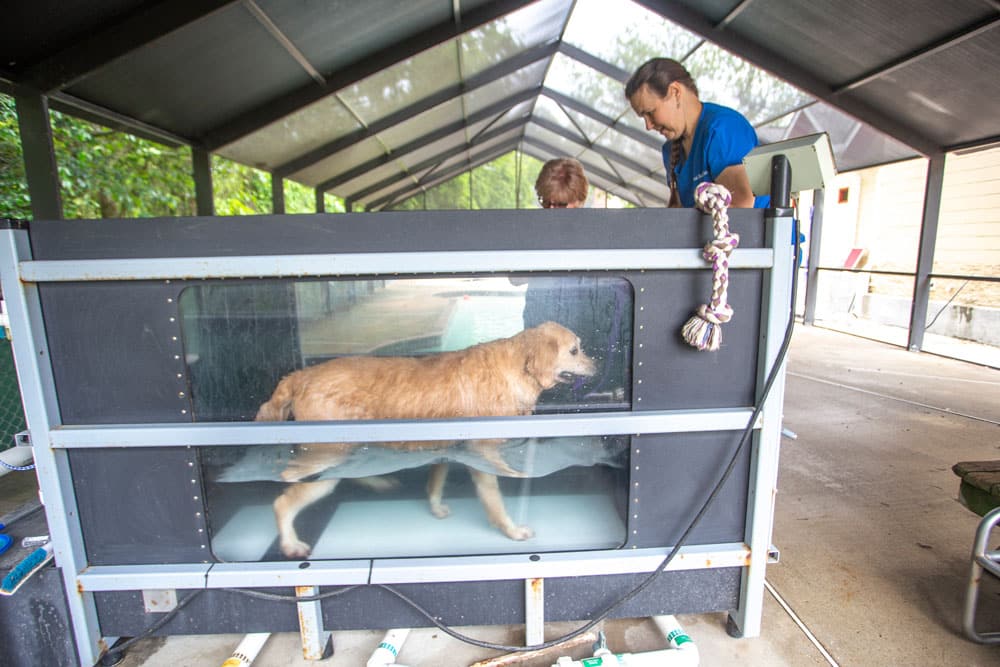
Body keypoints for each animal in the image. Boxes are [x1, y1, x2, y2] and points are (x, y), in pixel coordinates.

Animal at [254, 322, 592, 560]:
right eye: (575, 350)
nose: (596, 364)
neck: (516, 367)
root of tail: (299, 376)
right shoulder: (482, 454)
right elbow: (495, 500)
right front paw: (512, 530)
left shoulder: (447, 451)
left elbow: (435, 483)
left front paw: (435, 506)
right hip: (327, 457)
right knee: (284, 497)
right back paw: (290, 543)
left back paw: (380, 483)